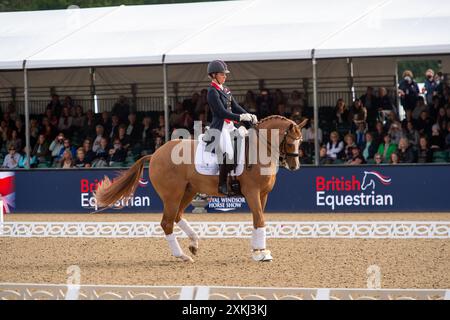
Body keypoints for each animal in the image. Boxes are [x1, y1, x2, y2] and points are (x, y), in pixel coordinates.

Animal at [93, 115, 308, 262]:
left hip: (188, 191)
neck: (258, 150)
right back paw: (181, 255)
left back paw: (194, 244)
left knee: (177, 217)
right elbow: (261, 220)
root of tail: (155, 154)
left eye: (301, 141)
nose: (295, 166)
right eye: (290, 141)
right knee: (167, 222)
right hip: (172, 195)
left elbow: (258, 221)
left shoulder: (263, 195)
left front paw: (259, 251)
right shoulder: (252, 193)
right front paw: (261, 254)